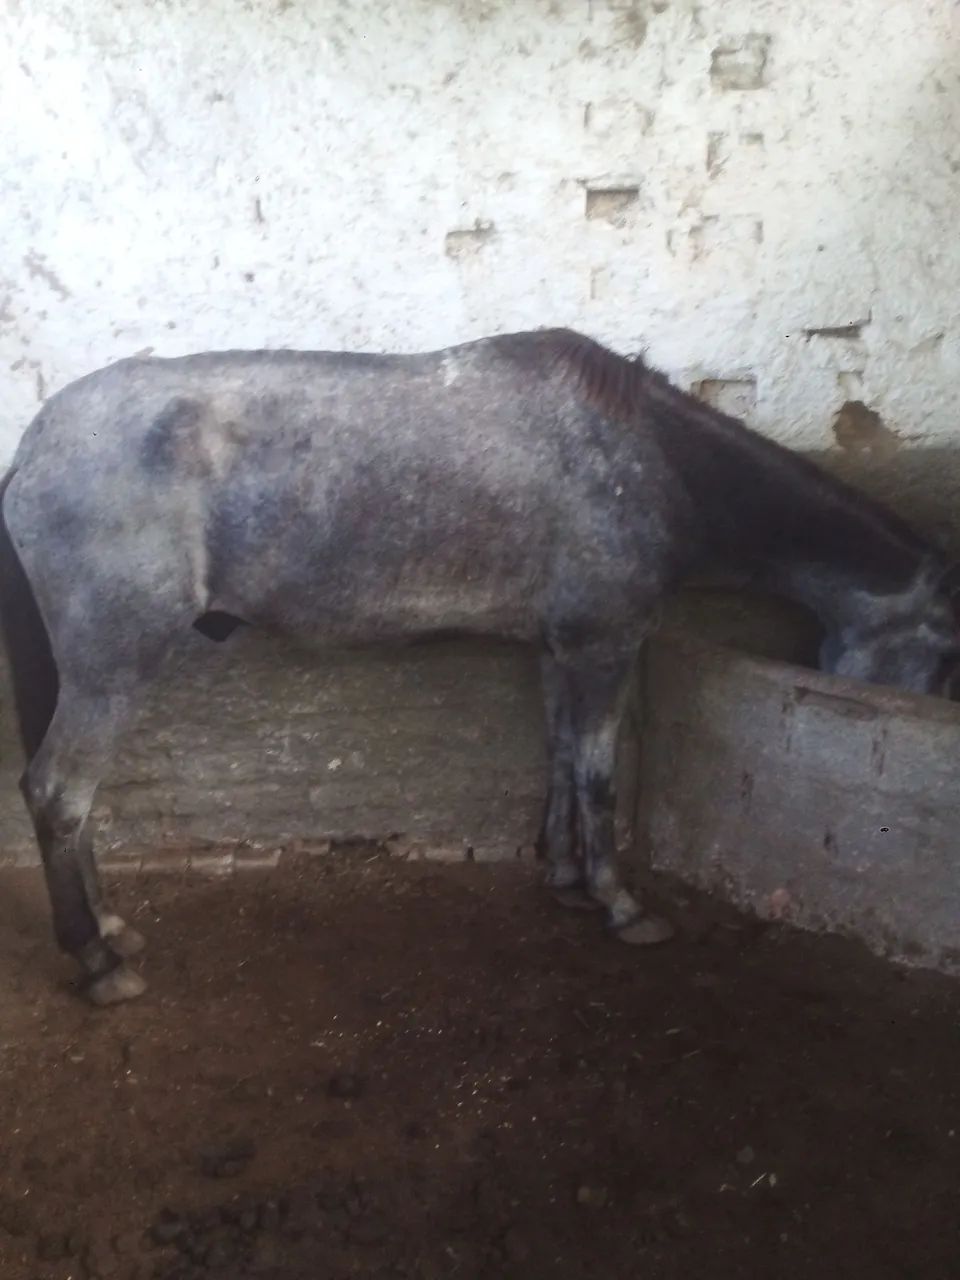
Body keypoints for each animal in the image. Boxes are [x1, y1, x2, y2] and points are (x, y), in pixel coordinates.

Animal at [1, 327, 957, 1005]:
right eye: (944, 655)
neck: (653, 459)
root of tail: (33, 449)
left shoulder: (562, 648)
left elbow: (564, 760)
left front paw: (568, 880)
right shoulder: (607, 645)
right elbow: (600, 776)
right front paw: (621, 903)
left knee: (73, 806)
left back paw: (112, 925)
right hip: (112, 670)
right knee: (59, 795)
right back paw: (96, 959)